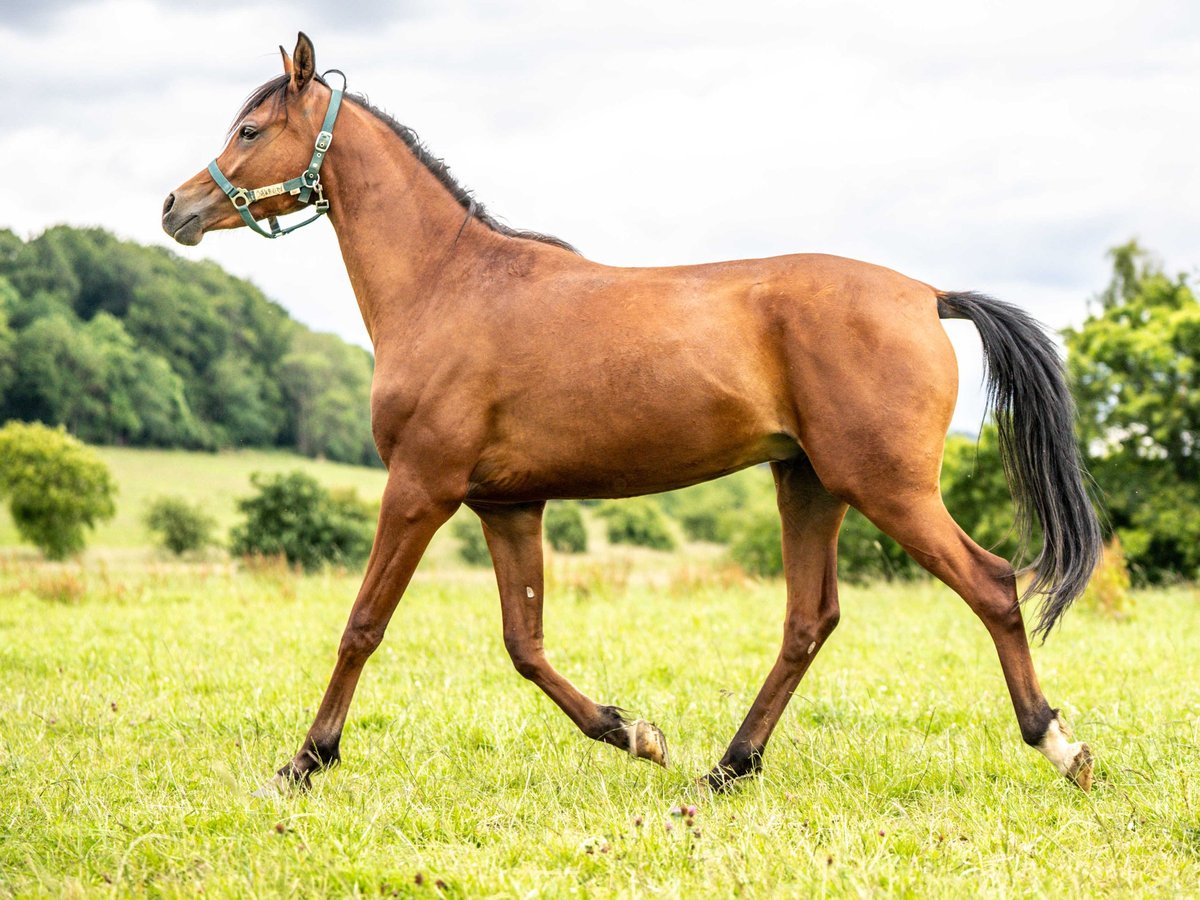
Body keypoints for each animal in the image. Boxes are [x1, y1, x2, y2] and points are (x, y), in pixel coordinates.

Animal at [164, 33, 1099, 796]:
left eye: (251, 132)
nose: (176, 208)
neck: (447, 284)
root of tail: (926, 295)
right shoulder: (508, 505)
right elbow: (526, 644)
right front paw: (633, 732)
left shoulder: (420, 487)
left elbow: (363, 625)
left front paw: (304, 762)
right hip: (808, 483)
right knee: (809, 621)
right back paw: (727, 767)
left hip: (885, 487)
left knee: (991, 585)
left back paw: (1059, 746)